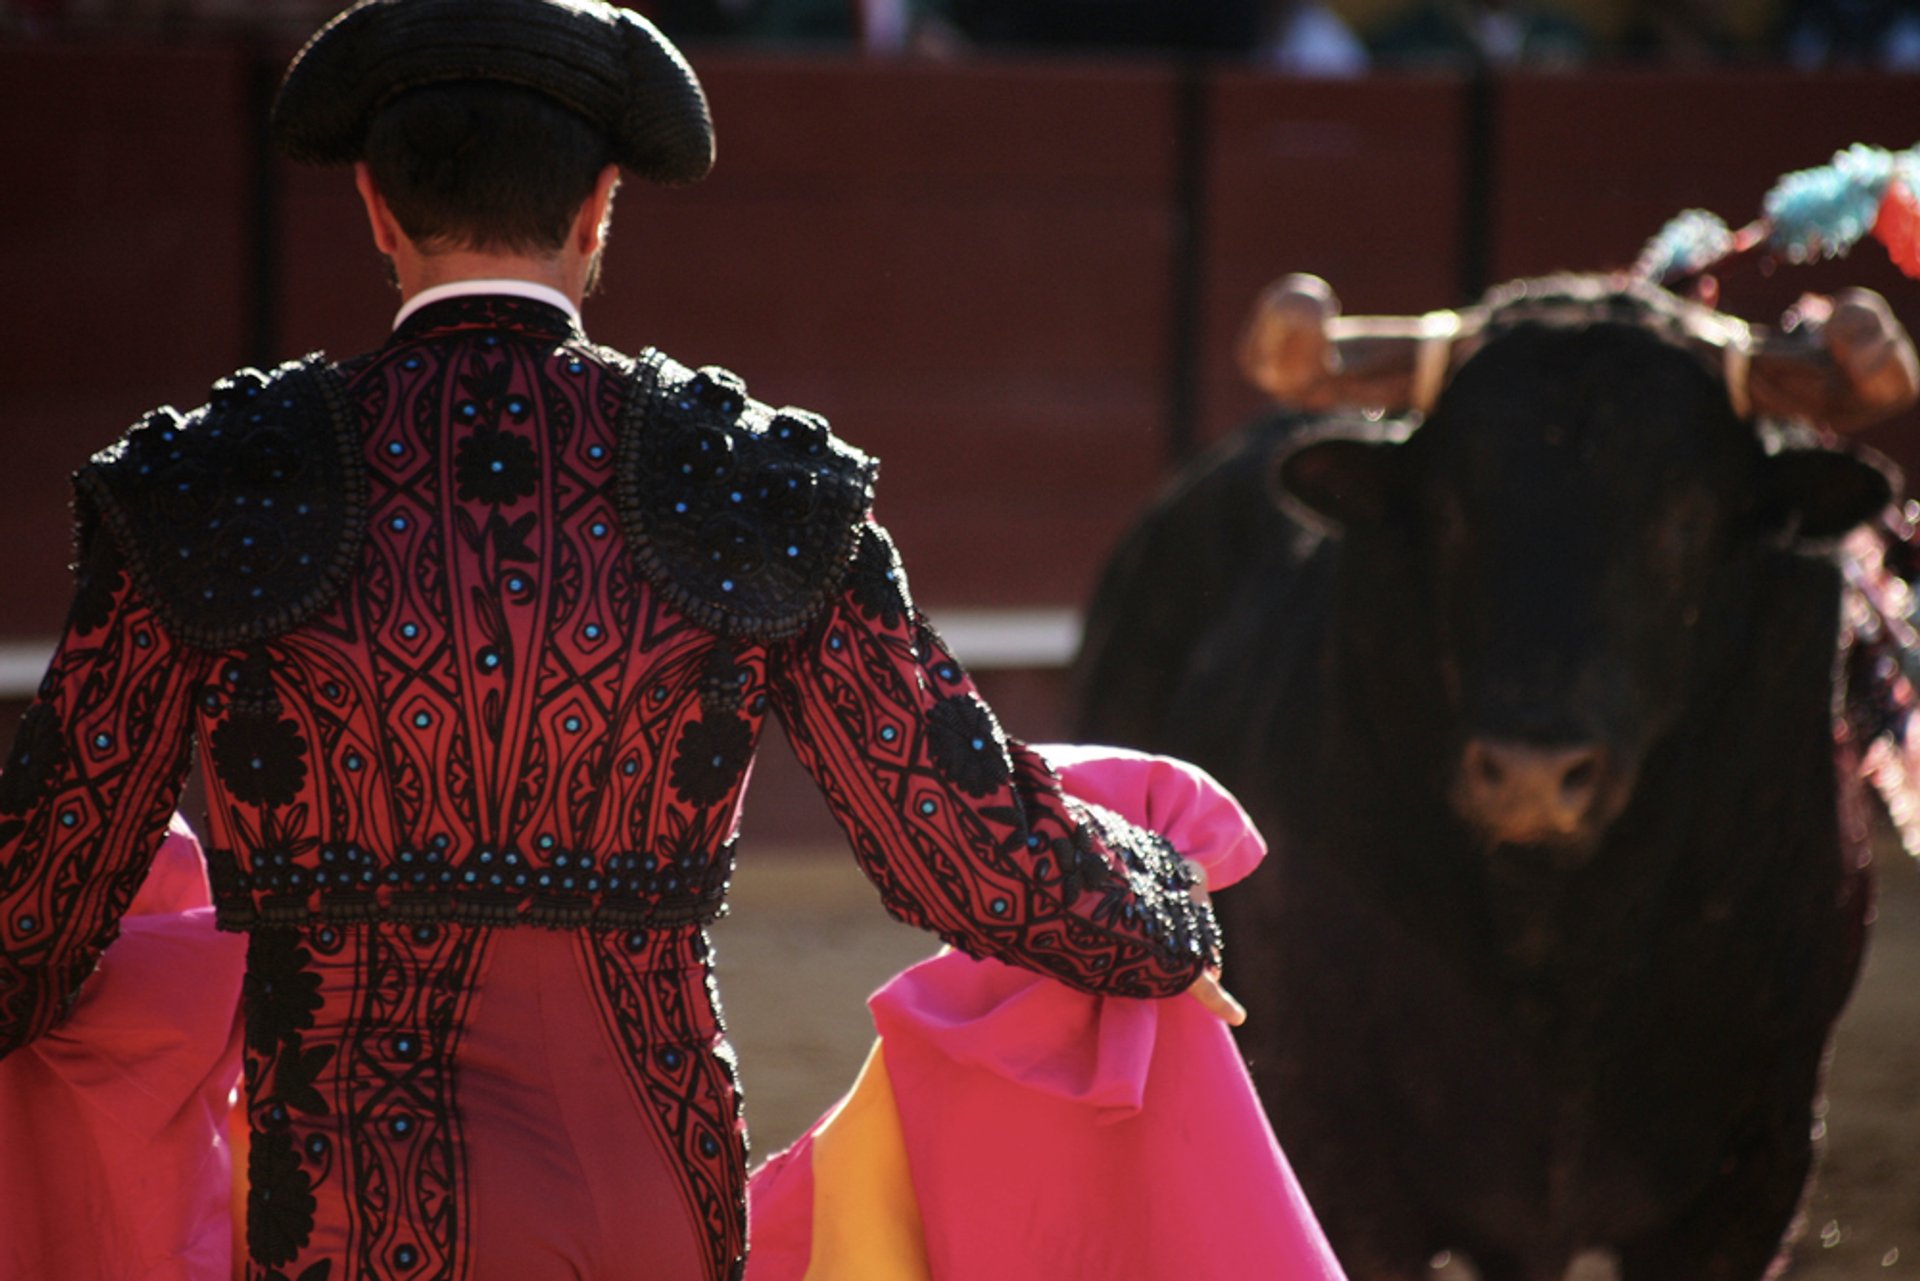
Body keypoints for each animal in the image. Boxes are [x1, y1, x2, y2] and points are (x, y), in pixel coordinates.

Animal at [1075, 314, 1896, 1275]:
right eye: (1446, 511)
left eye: (1688, 518)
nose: (1533, 773)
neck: (1563, 942)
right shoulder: (1340, 1152)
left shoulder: (1754, 1171)